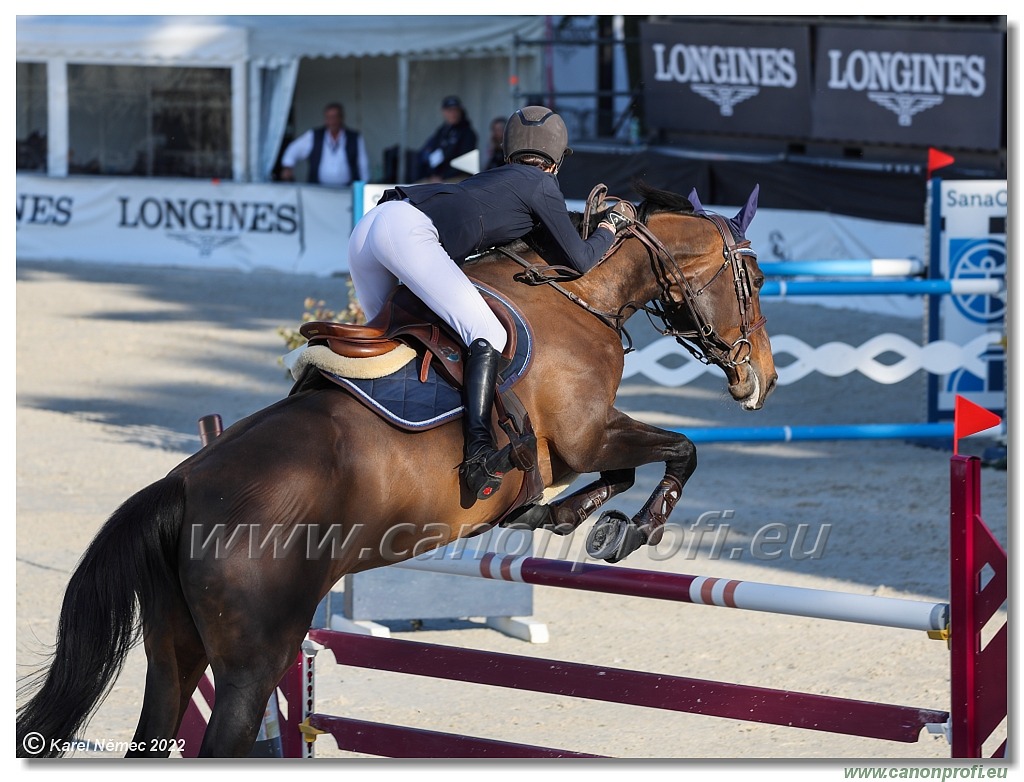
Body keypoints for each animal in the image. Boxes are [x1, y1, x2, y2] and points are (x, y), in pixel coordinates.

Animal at [16, 180, 774, 753]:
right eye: (758, 280)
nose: (760, 379)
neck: (578, 293)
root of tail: (181, 485)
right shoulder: (590, 437)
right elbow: (679, 449)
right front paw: (630, 530)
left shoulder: (585, 446)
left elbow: (621, 474)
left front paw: (570, 517)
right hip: (253, 661)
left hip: (175, 654)